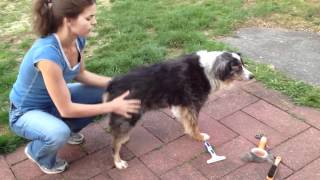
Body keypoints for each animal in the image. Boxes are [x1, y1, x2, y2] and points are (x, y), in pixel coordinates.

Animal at [104, 49, 254, 169]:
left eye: (243, 64)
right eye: (237, 67)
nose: (252, 76)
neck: (208, 70)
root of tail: (112, 84)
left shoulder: (182, 105)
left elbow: (185, 121)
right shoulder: (193, 104)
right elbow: (194, 125)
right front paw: (199, 137)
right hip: (130, 114)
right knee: (115, 141)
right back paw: (118, 162)